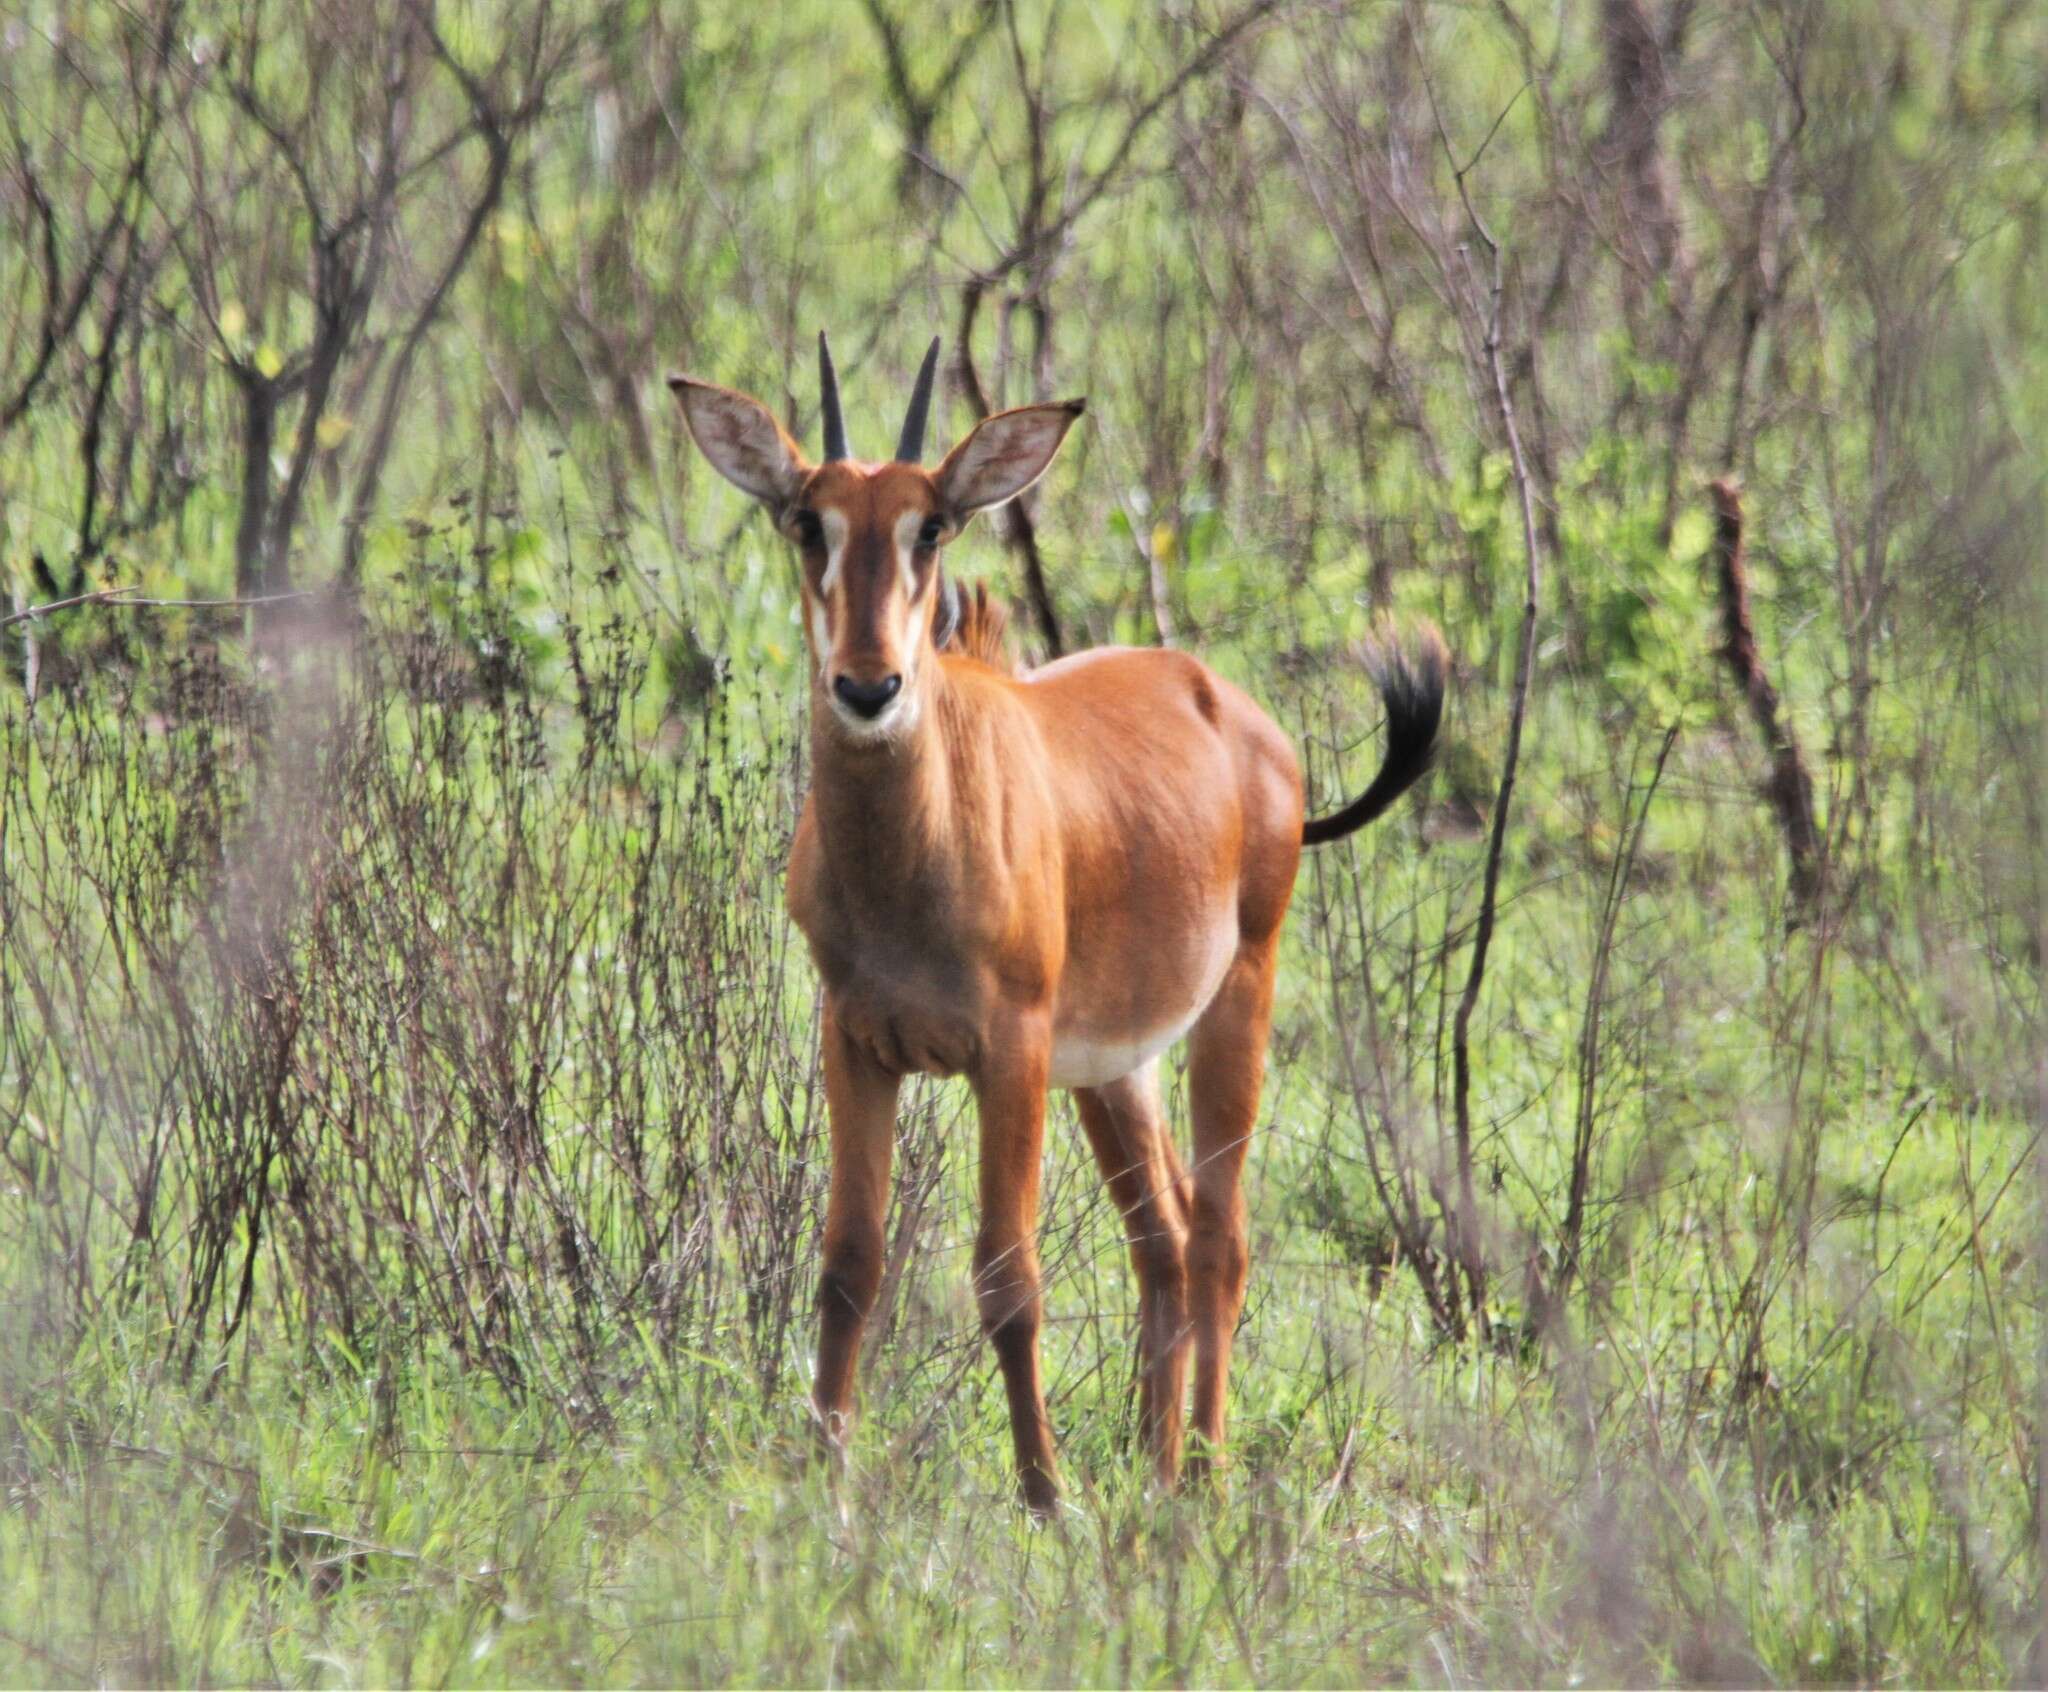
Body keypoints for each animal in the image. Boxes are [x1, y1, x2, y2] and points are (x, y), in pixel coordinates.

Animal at [667, 335, 1441, 1507]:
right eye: (807, 520)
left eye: (931, 524)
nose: (867, 687)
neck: (911, 857)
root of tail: (1227, 706)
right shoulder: (856, 1044)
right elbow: (849, 1262)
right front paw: (824, 1480)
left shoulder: (1010, 1052)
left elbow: (1006, 1271)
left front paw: (1045, 1495)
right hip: (1115, 1068)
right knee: (1162, 1234)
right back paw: (1154, 1468)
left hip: (1231, 1006)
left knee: (1219, 1238)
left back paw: (1202, 1475)